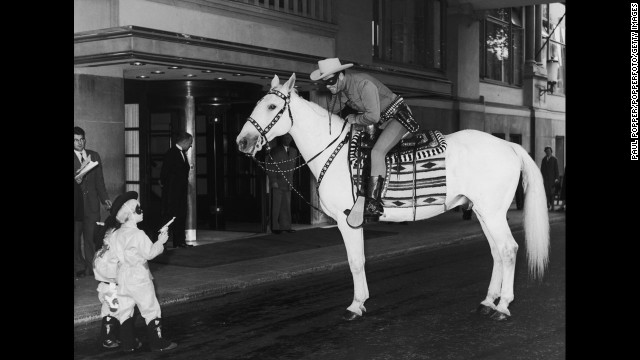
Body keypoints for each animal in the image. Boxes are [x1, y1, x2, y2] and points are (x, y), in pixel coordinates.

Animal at [235, 73, 552, 320]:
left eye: (272, 106)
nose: (243, 142)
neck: (334, 152)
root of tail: (509, 146)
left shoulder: (346, 220)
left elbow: (355, 261)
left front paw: (355, 306)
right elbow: (360, 260)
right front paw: (361, 301)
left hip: (493, 213)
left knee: (508, 250)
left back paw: (503, 306)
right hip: (484, 212)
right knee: (497, 252)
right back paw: (488, 301)